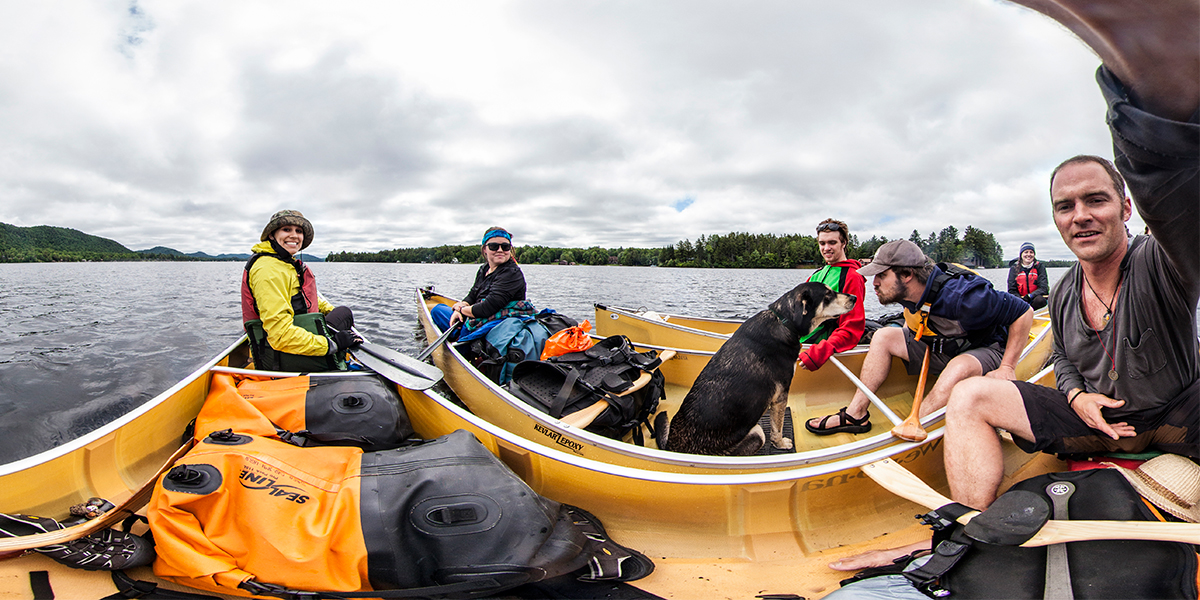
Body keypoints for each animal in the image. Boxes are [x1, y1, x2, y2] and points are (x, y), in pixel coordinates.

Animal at [657, 280, 854, 453]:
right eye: (828, 295)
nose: (854, 297)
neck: (784, 321)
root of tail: (670, 447)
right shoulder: (780, 396)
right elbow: (777, 428)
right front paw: (781, 444)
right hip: (758, 433)